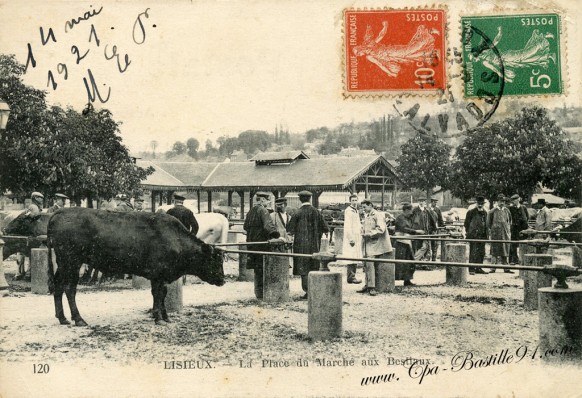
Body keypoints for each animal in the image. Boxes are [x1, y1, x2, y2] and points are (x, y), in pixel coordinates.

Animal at [47, 208, 226, 326]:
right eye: (214, 260)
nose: (223, 280)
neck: (175, 239)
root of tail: (60, 212)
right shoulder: (158, 275)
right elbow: (158, 294)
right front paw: (159, 318)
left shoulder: (160, 276)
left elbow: (162, 294)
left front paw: (165, 316)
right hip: (71, 262)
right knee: (69, 288)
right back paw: (78, 319)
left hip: (63, 264)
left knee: (58, 286)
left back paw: (62, 318)